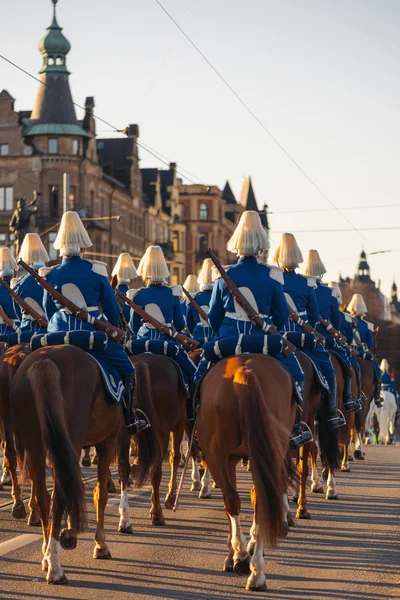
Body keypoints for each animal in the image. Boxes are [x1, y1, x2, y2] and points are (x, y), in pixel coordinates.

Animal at [10, 344, 159, 584]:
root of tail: (44, 361)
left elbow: (79, 486)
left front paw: (69, 534)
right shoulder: (109, 440)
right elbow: (103, 491)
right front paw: (102, 543)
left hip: (36, 445)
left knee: (44, 497)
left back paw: (47, 556)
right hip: (71, 442)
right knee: (59, 496)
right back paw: (56, 568)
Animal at [195, 354, 296, 592]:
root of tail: (244, 371)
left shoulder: (227, 459)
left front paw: (234, 555)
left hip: (217, 456)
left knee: (234, 500)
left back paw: (243, 560)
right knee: (259, 500)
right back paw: (256, 572)